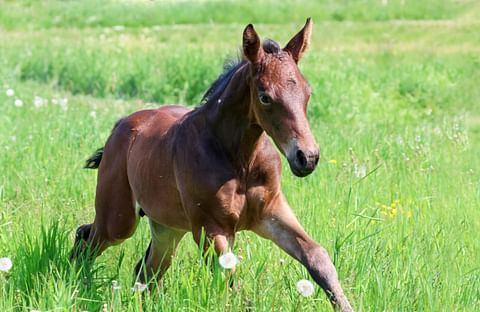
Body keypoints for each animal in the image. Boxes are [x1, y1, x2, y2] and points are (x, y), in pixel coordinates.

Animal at [73, 18, 354, 310]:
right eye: (265, 96)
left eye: (307, 91)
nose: (307, 157)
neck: (241, 161)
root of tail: (121, 125)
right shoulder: (210, 228)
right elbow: (232, 279)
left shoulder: (271, 212)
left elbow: (317, 256)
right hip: (119, 220)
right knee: (87, 238)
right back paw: (80, 286)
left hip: (168, 228)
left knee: (147, 271)